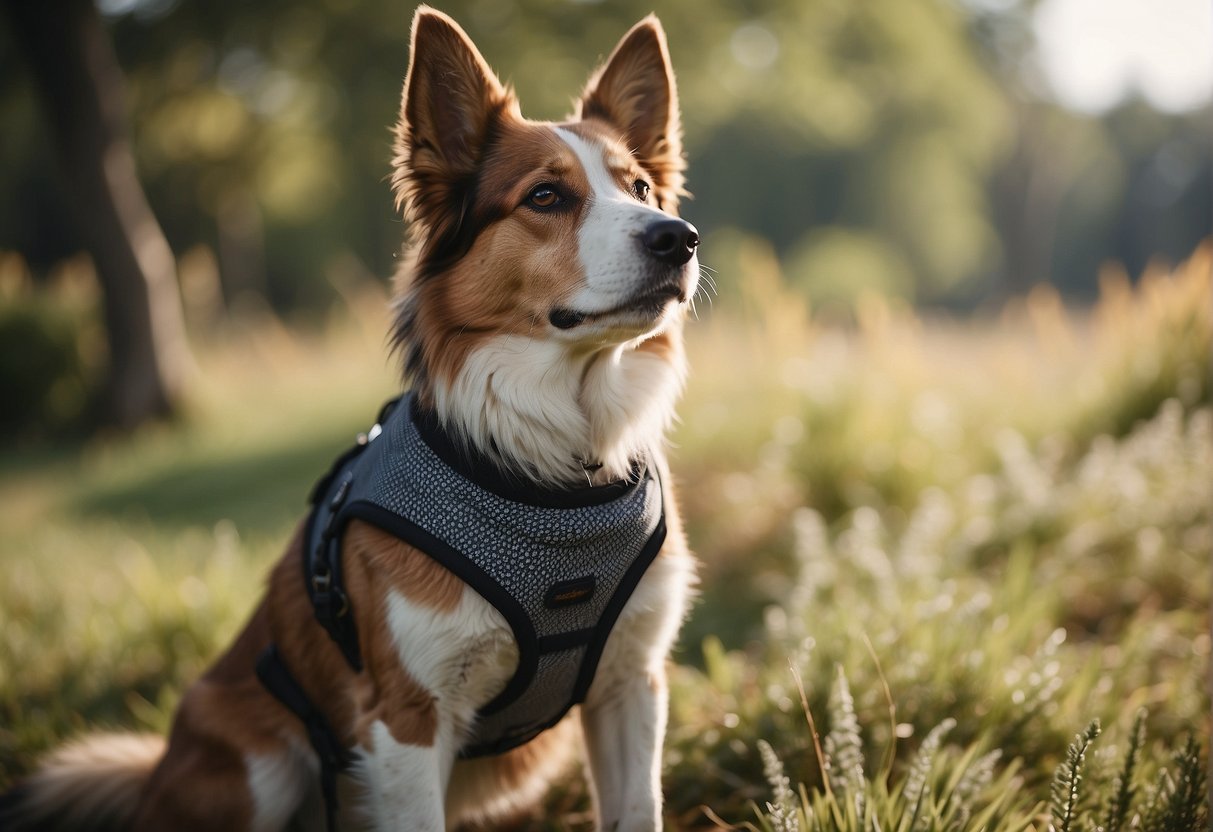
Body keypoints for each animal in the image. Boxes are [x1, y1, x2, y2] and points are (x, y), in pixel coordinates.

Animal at [2, 6, 703, 832]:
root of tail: (153, 780)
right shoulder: (406, 718)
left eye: (641, 187)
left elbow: (637, 808)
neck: (553, 468)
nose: (676, 238)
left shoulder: (630, 683)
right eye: (544, 198)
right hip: (262, 761)